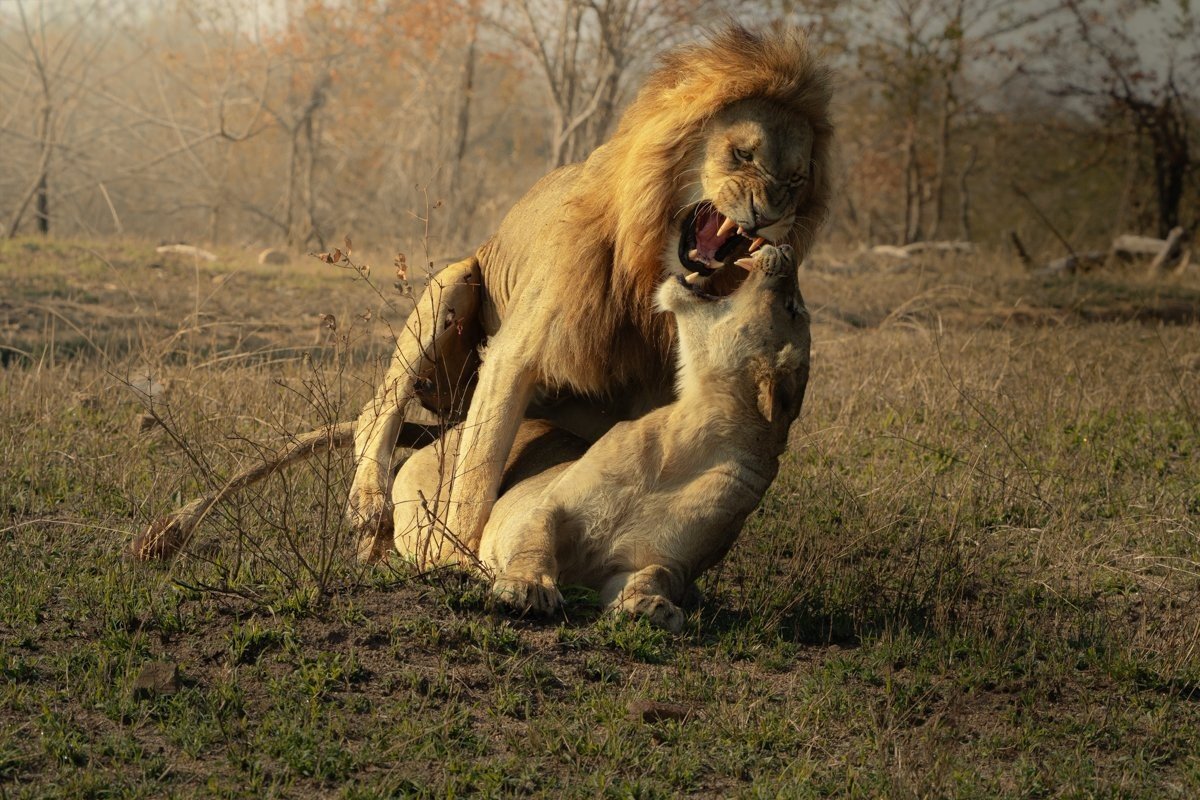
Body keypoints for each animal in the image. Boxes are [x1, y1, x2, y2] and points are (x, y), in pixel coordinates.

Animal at [390, 245, 810, 631]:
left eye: (791, 307)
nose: (786, 249)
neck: (690, 439)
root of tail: (445, 435)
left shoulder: (661, 561)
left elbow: (655, 575)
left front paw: (653, 607)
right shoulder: (551, 503)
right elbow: (534, 539)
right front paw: (526, 587)